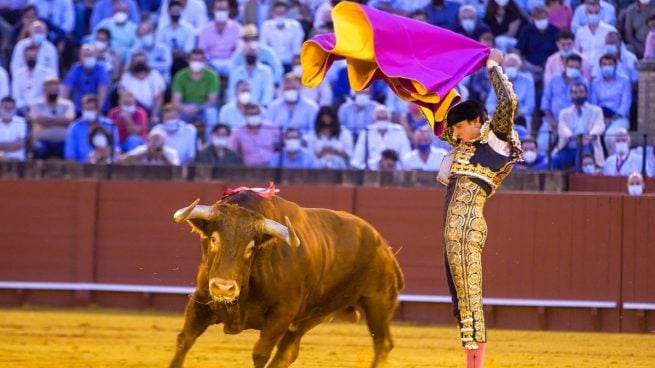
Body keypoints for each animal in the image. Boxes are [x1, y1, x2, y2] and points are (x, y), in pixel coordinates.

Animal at [169, 188, 404, 366]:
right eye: (214, 239)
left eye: (251, 247)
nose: (224, 288)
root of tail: (384, 246)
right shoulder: (200, 301)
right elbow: (184, 340)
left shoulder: (281, 315)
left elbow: (260, 353)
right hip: (313, 316)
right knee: (288, 351)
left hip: (378, 302)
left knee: (382, 344)